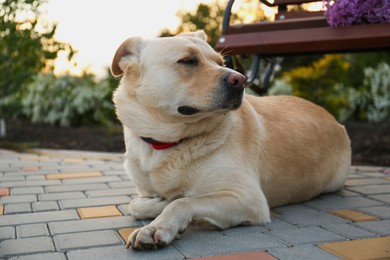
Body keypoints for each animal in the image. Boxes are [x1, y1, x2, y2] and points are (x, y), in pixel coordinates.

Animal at [109, 30, 350, 250]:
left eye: (220, 62)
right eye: (188, 61)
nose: (240, 80)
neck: (167, 142)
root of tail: (333, 119)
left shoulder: (249, 198)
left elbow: (182, 202)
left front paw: (157, 225)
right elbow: (135, 204)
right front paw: (159, 201)